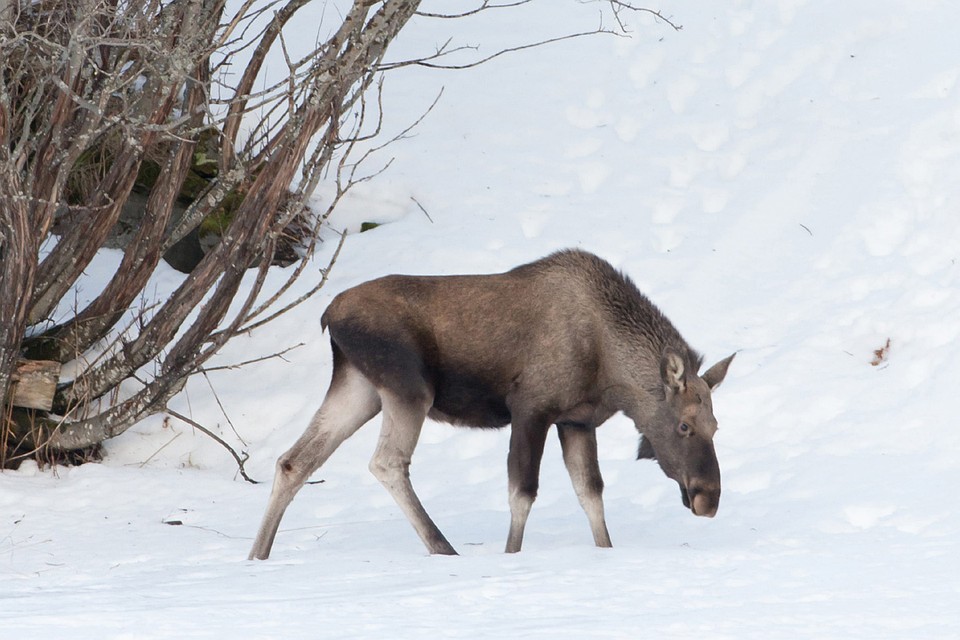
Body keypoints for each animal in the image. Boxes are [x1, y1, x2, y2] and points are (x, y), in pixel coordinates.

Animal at [249, 250, 736, 560]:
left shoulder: (576, 421)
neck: (609, 364)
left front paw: (606, 552)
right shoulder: (531, 408)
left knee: (295, 460)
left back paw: (258, 554)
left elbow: (590, 493)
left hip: (360, 387)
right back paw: (443, 547)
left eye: (717, 426)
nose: (708, 498)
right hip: (409, 389)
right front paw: (510, 555)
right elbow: (522, 492)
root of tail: (329, 315)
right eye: (684, 426)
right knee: (386, 461)